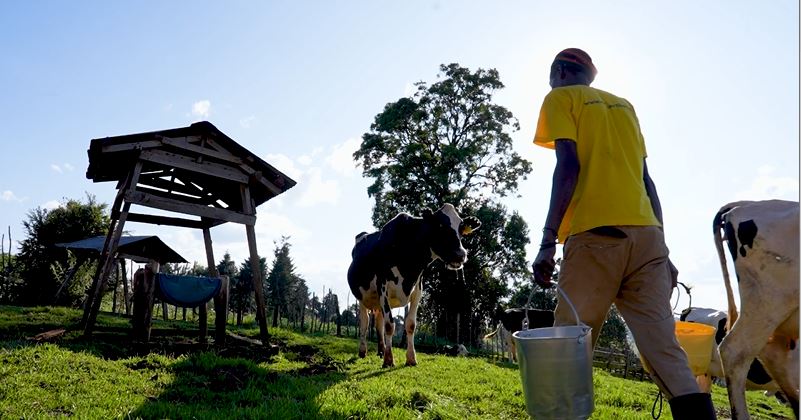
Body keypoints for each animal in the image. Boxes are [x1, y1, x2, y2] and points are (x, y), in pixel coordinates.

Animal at [346, 204, 482, 368]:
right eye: (439, 225)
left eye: (461, 228)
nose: (460, 254)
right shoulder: (382, 288)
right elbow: (390, 325)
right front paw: (389, 360)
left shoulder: (417, 289)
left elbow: (410, 325)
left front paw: (411, 358)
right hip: (362, 298)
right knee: (364, 323)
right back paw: (363, 351)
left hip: (378, 303)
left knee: (378, 323)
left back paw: (381, 351)